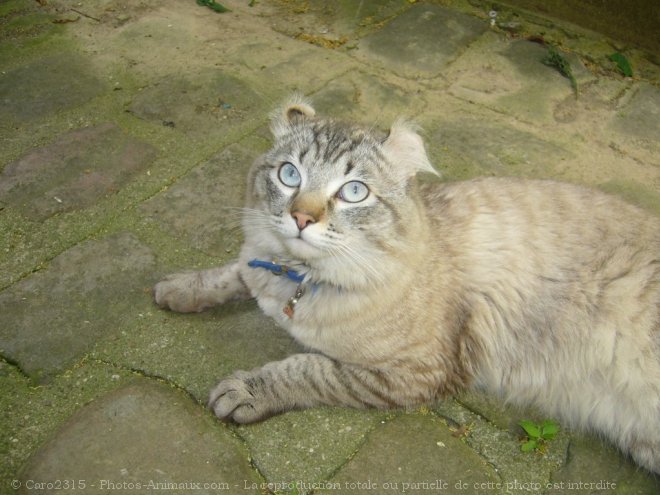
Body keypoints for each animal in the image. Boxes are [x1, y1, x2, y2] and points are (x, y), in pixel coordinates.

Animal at [153, 98, 660, 476]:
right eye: (289, 174)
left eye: (353, 192)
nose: (301, 218)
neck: (300, 281)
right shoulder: (259, 265)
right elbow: (232, 272)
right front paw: (179, 288)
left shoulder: (410, 373)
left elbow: (304, 368)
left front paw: (245, 391)